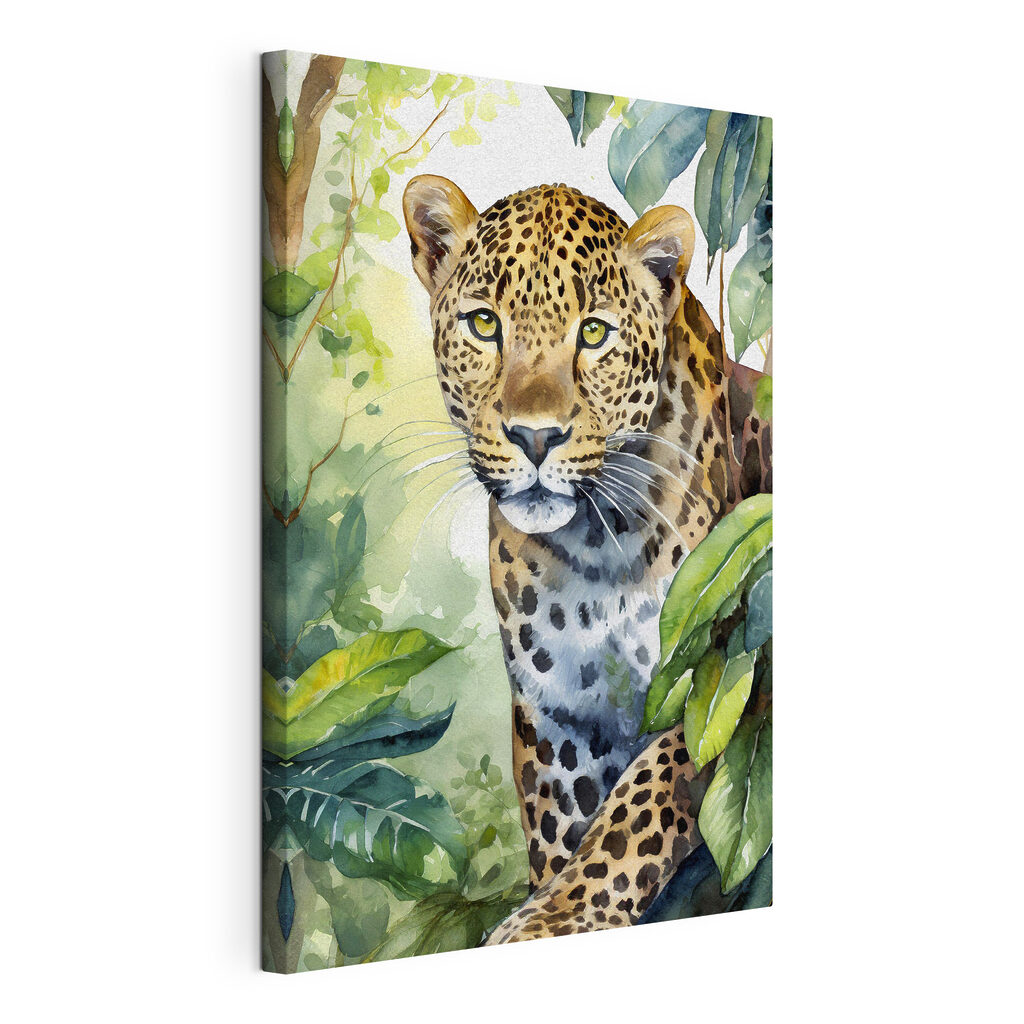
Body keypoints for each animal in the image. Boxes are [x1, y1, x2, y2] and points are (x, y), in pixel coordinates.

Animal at [402, 175, 771, 943]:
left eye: (594, 333)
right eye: (485, 324)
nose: (535, 437)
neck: (595, 550)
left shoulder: (709, 681)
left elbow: (632, 818)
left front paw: (547, 921)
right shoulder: (558, 712)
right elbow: (564, 829)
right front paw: (548, 901)